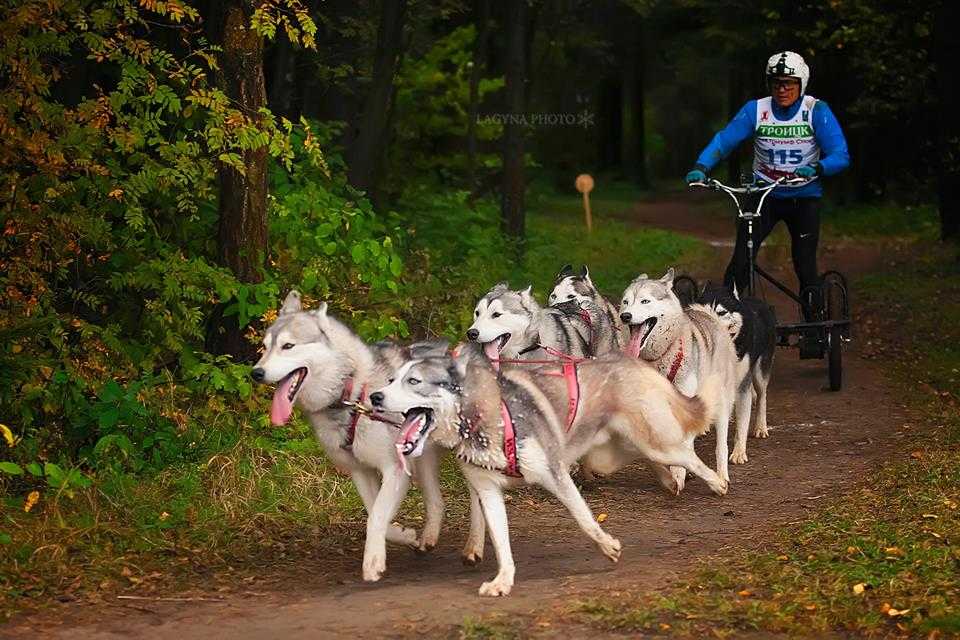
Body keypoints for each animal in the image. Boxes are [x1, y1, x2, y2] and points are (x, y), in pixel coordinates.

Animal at [251, 292, 484, 584]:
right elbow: (375, 514)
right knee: (436, 502)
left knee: (478, 500)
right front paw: (403, 535)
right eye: (265, 347)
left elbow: (377, 516)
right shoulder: (361, 471)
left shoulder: (394, 469)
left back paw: (475, 546)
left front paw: (373, 562)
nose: (255, 373)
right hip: (424, 460)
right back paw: (428, 538)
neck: (351, 391)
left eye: (288, 346)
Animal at [370, 344, 728, 600]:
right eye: (391, 380)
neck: (486, 418)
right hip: (611, 453)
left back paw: (716, 481)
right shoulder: (488, 492)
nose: (374, 396)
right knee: (644, 457)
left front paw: (606, 545)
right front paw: (503, 581)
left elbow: (584, 518)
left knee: (687, 455)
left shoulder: (555, 474)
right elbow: (501, 542)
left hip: (655, 443)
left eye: (413, 381)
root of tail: (627, 360)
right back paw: (668, 479)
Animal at [620, 268, 740, 488]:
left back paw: (722, 475)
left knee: (721, 445)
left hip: (722, 403)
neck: (660, 357)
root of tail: (708, 315)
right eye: (626, 302)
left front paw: (678, 475)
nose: (625, 316)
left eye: (645, 301)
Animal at [696, 282, 780, 458]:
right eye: (703, 311)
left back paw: (761, 426)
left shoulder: (742, 387)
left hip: (759, 372)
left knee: (762, 396)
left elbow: (742, 423)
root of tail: (757, 300)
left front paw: (739, 452)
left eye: (721, 312)